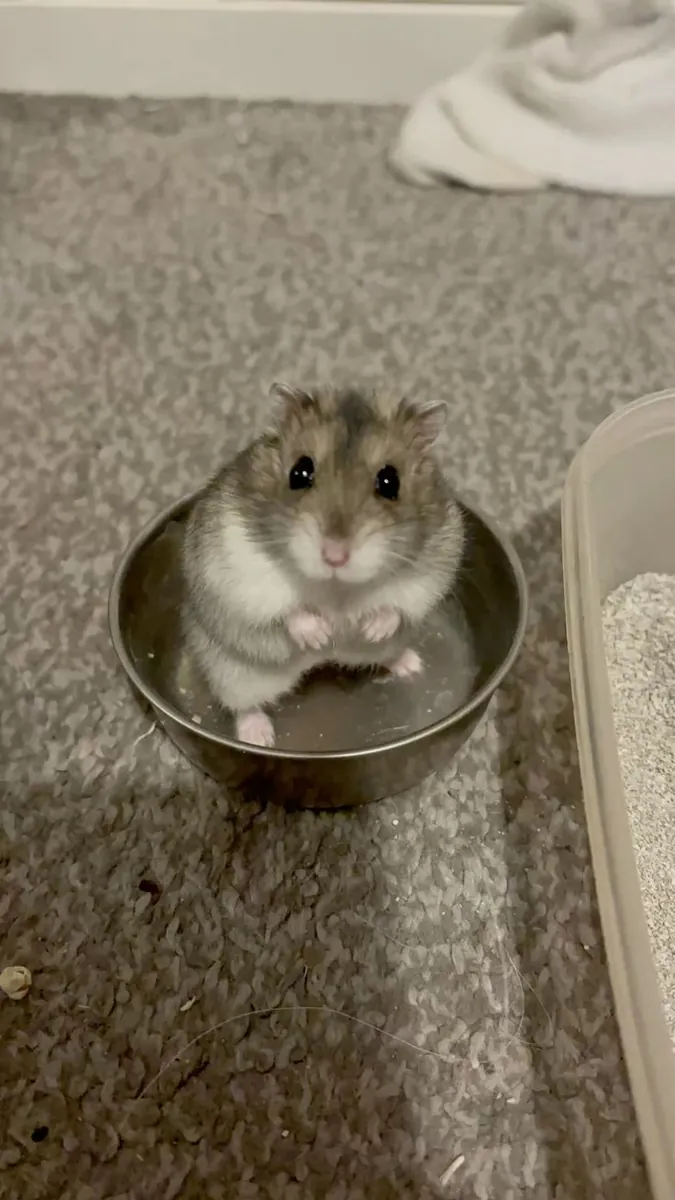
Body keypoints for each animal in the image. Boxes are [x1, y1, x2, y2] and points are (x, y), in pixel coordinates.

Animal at [181, 383, 465, 747]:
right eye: (299, 472)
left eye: (391, 481)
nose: (334, 555)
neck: (336, 585)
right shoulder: (241, 571)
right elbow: (287, 610)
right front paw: (321, 634)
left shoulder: (432, 567)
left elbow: (397, 604)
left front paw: (369, 627)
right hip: (233, 674)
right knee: (244, 706)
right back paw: (259, 737)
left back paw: (410, 663)